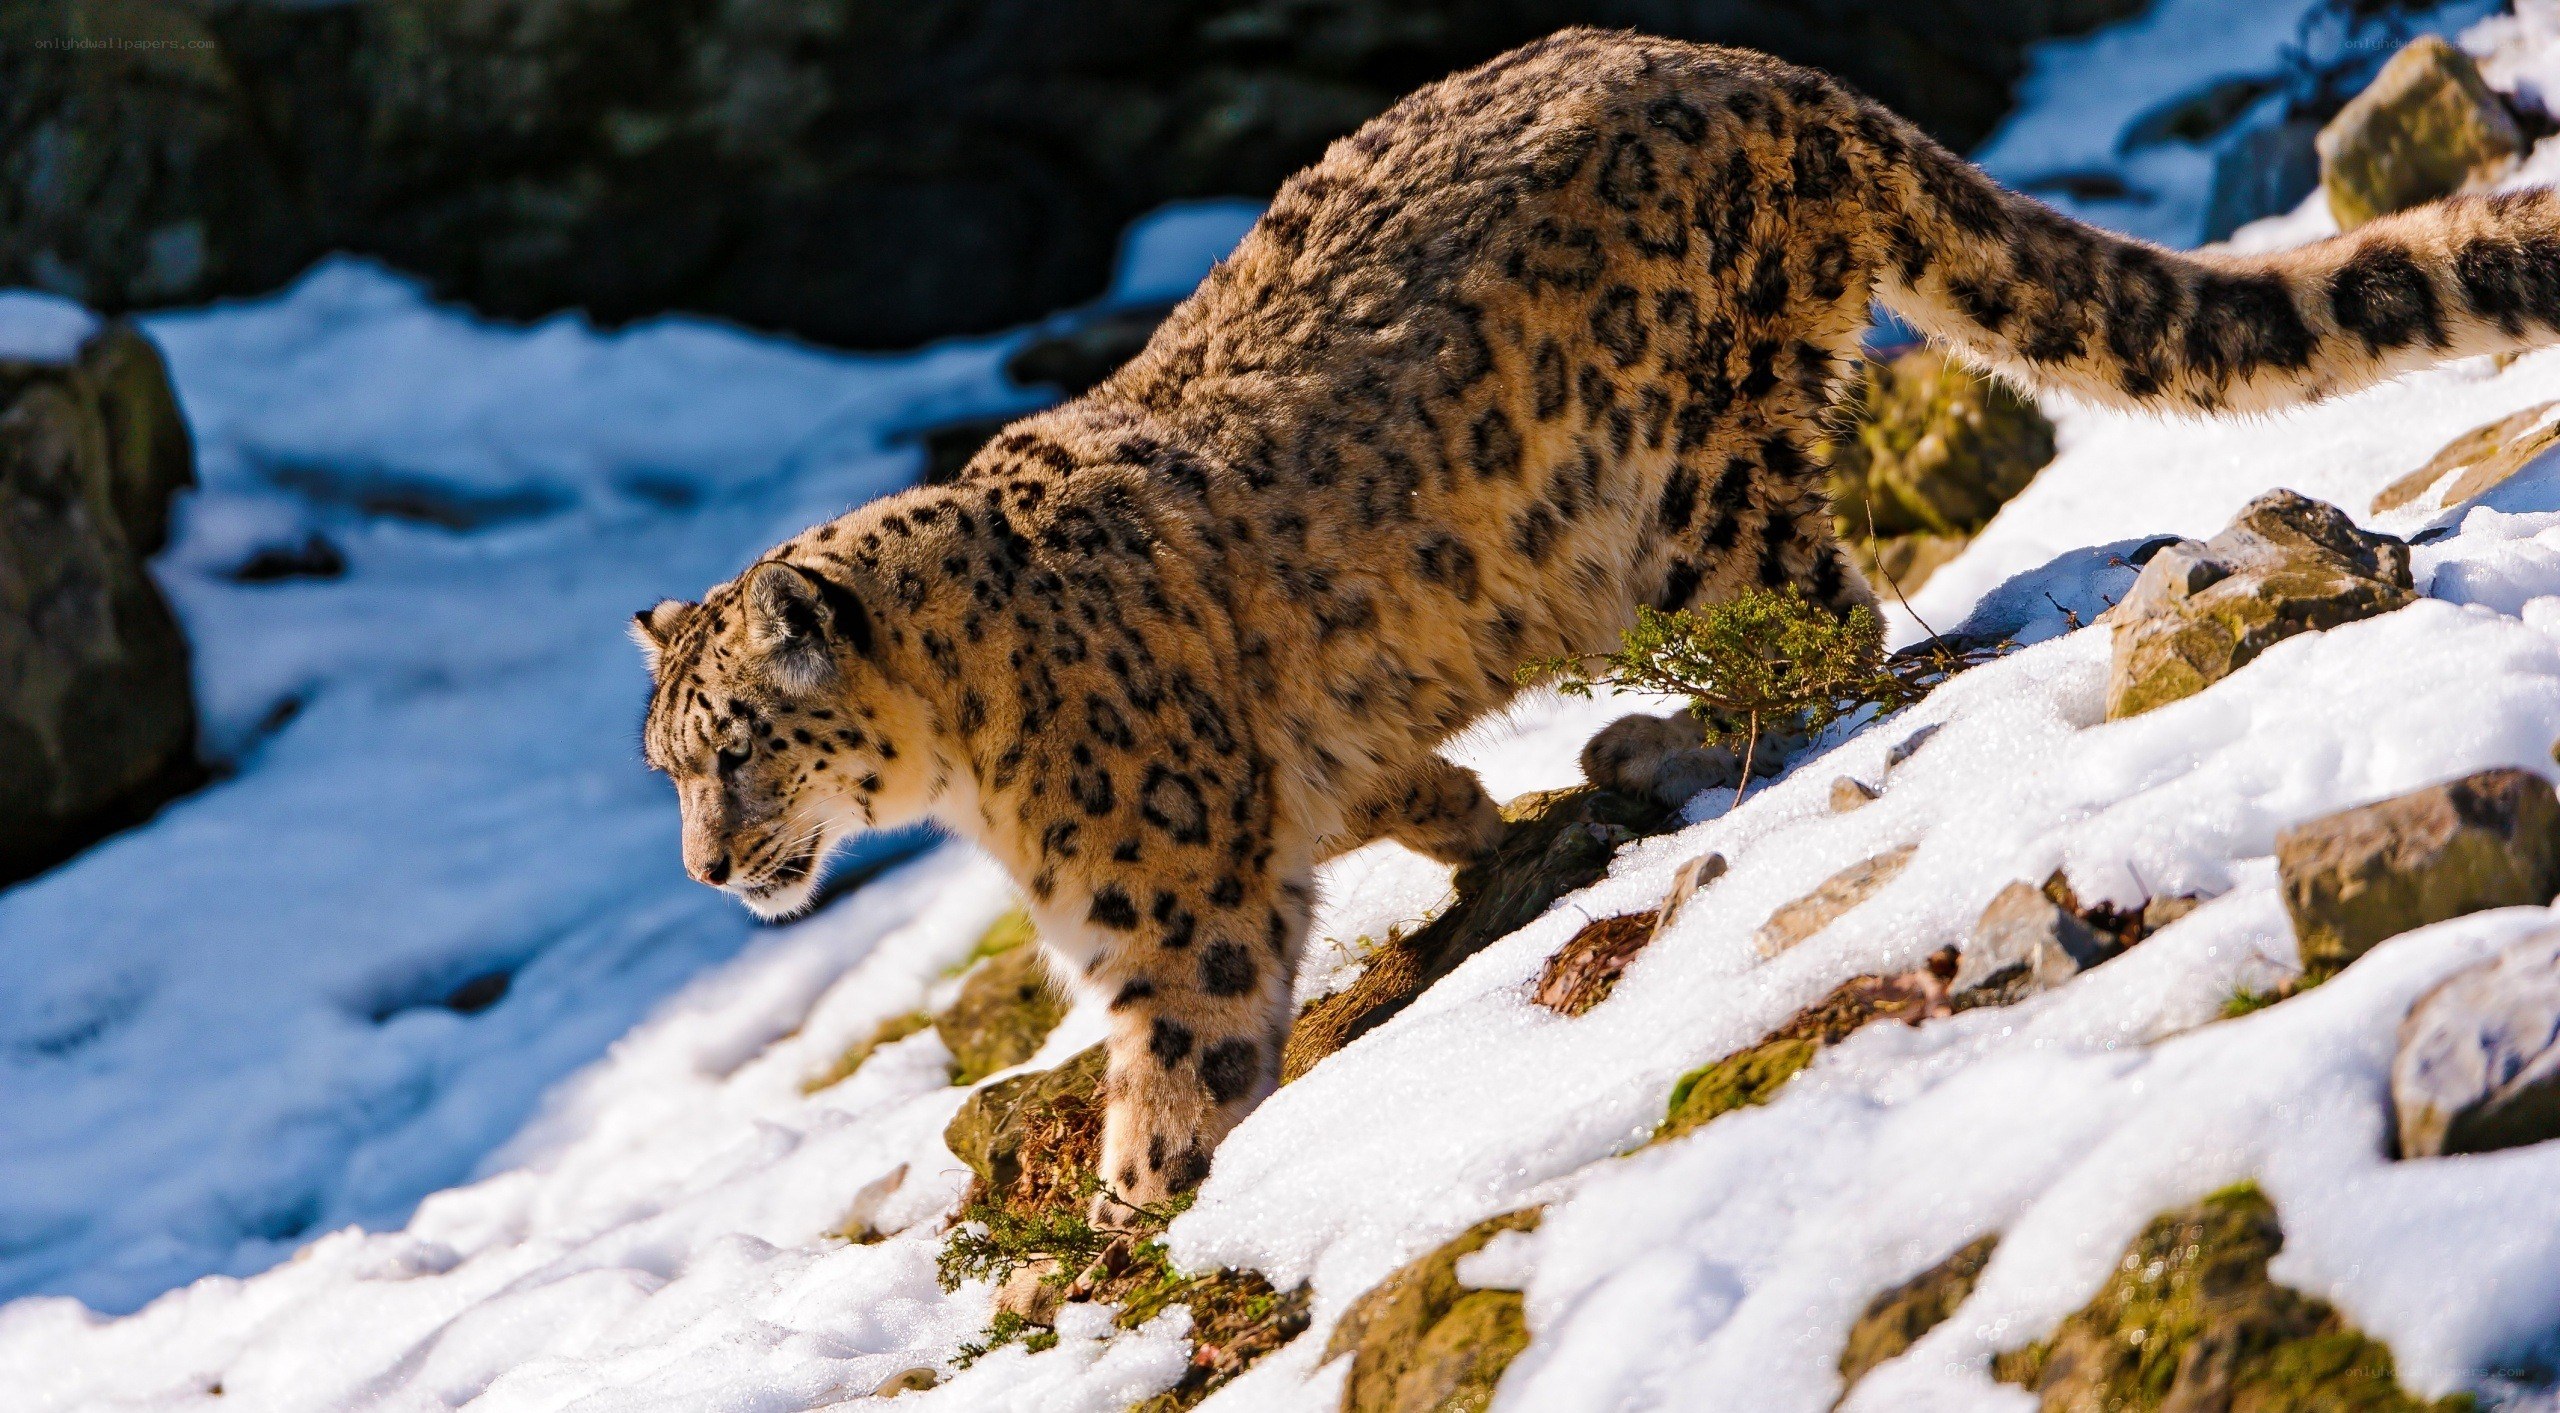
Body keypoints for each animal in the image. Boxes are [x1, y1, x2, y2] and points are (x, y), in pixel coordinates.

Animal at [636, 27, 2560, 1208]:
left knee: (1825, 629)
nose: (708, 870)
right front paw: (1458, 816)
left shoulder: (1166, 902)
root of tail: (1767, 70)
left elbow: (1184, 1052)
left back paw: (1654, 737)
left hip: (1695, 483)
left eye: (739, 748)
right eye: (668, 766)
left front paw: (1139, 1207)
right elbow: (1384, 781)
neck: (966, 765)